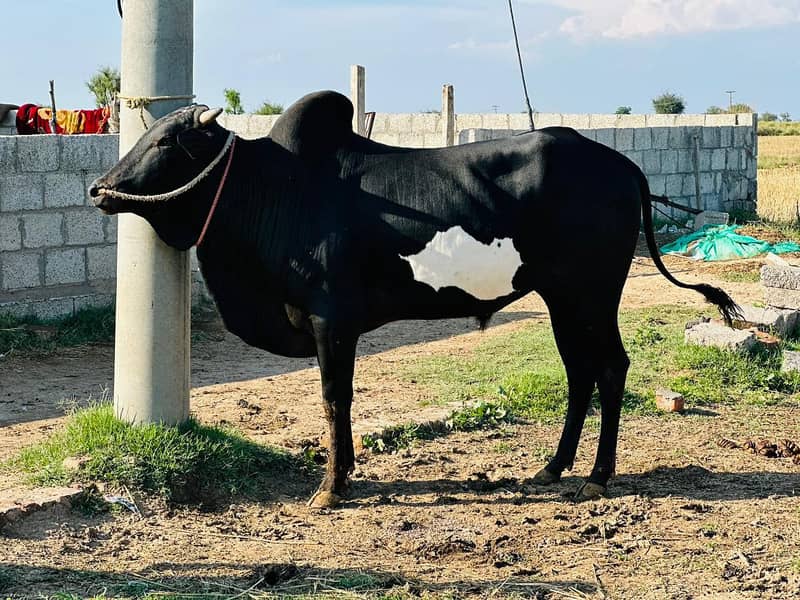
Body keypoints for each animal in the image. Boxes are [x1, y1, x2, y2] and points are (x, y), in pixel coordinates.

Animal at [90, 91, 740, 508]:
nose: (99, 188)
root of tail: (622, 164)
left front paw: (330, 487)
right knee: (580, 373)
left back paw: (598, 477)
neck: (275, 190)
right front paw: (345, 474)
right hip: (561, 301)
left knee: (610, 368)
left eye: (167, 141)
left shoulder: (330, 321)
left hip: (592, 297)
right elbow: (340, 401)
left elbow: (334, 399)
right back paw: (552, 468)